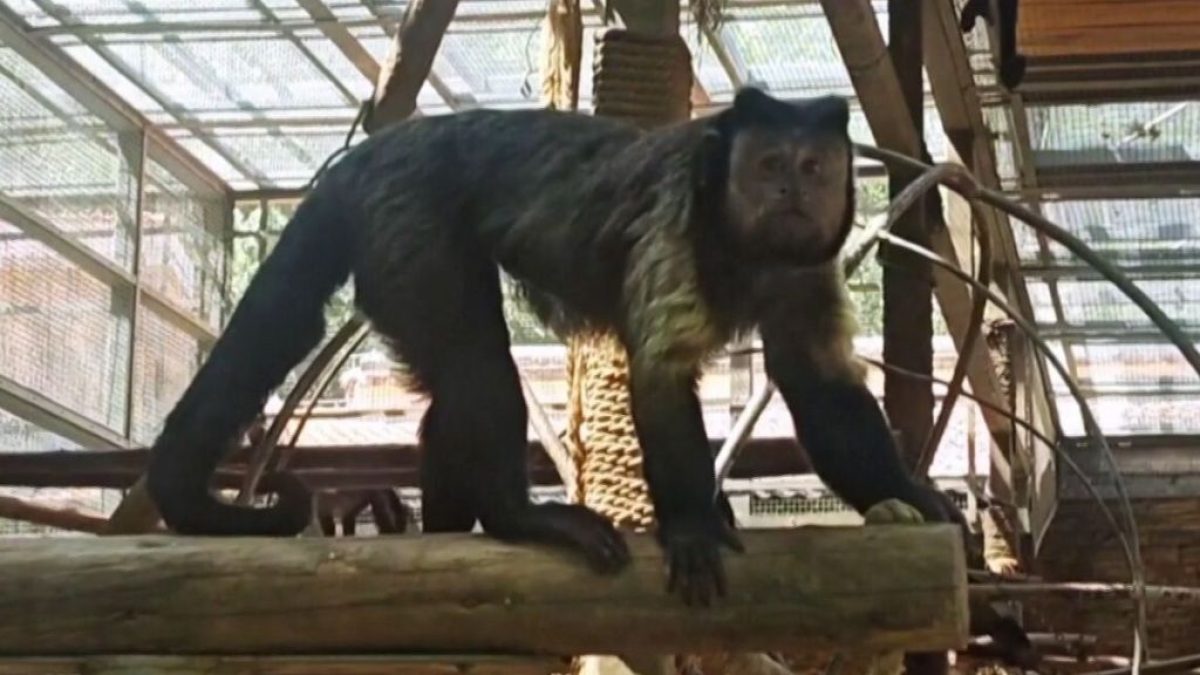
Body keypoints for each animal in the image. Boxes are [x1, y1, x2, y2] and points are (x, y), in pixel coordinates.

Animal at [145, 86, 965, 608]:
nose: (791, 191)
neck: (747, 251)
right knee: (478, 362)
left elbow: (819, 384)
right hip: (406, 222)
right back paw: (518, 516)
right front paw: (694, 526)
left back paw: (451, 528)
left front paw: (917, 498)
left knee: (449, 394)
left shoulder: (806, 268)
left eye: (813, 167)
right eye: (767, 167)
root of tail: (369, 157)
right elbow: (658, 378)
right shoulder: (675, 226)